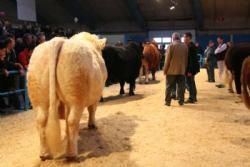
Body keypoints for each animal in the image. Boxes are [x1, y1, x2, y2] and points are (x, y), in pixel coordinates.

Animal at [27, 32, 107, 161]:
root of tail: (59, 40)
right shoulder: (97, 95)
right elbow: (92, 109)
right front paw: (92, 125)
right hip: (76, 95)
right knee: (72, 120)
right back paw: (72, 154)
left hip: (39, 97)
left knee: (41, 121)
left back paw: (44, 154)